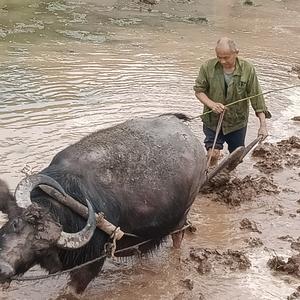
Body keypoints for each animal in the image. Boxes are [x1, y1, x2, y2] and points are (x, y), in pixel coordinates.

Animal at [0, 113, 206, 294]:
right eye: (15, 223)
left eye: (41, 248)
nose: (3, 269)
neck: (65, 200)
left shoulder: (90, 263)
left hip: (182, 215)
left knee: (178, 236)